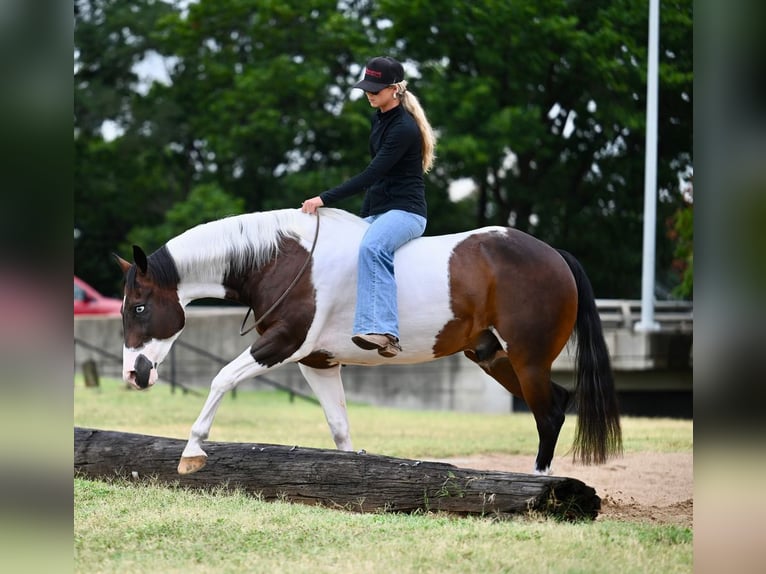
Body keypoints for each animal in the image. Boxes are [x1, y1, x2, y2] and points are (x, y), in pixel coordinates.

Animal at [115, 207, 622, 476]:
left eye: (138, 308)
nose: (133, 375)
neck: (287, 260)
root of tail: (554, 255)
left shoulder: (281, 345)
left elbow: (221, 379)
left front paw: (192, 451)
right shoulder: (317, 363)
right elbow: (339, 426)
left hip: (528, 359)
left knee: (549, 412)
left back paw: (539, 484)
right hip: (495, 357)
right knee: (557, 401)